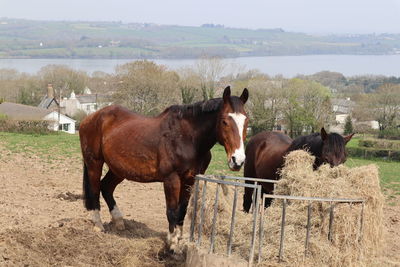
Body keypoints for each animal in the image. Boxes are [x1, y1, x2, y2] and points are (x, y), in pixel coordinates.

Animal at [78, 87, 248, 252]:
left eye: (246, 121)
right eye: (225, 121)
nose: (238, 160)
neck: (187, 138)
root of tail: (90, 118)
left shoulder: (190, 180)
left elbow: (182, 210)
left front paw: (179, 241)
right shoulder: (171, 179)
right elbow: (171, 211)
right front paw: (171, 244)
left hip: (118, 169)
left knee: (106, 187)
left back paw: (119, 222)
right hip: (94, 163)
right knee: (95, 190)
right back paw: (98, 225)